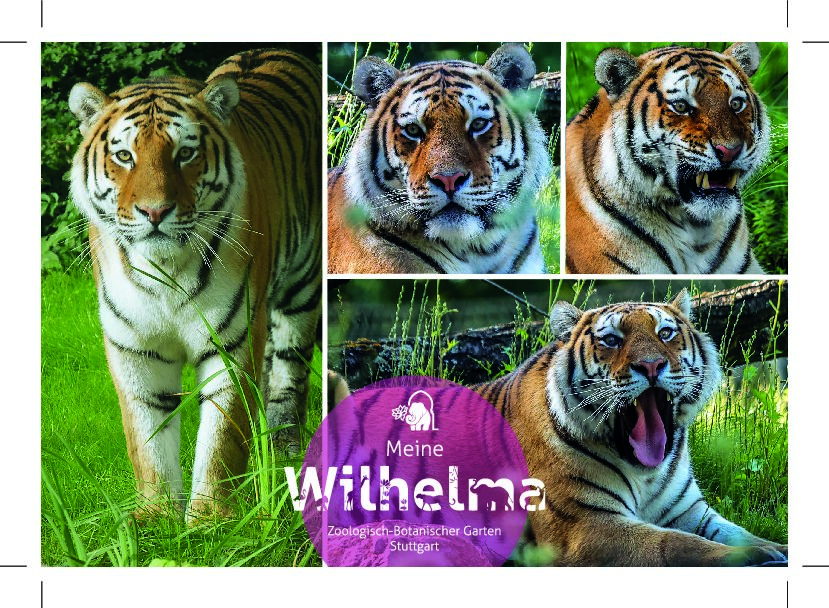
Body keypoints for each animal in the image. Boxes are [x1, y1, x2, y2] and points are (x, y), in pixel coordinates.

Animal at [68, 48, 322, 520]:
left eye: (185, 153)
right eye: (125, 156)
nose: (155, 211)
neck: (164, 270)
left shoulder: (233, 340)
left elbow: (222, 438)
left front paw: (209, 519)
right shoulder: (134, 349)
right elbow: (147, 439)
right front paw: (157, 516)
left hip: (302, 292)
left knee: (288, 376)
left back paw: (284, 453)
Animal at [475, 290, 787, 565]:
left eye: (665, 333)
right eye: (611, 340)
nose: (651, 365)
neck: (646, 473)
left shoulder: (689, 510)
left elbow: (740, 533)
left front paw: (775, 547)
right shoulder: (585, 525)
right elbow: (674, 543)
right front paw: (755, 556)